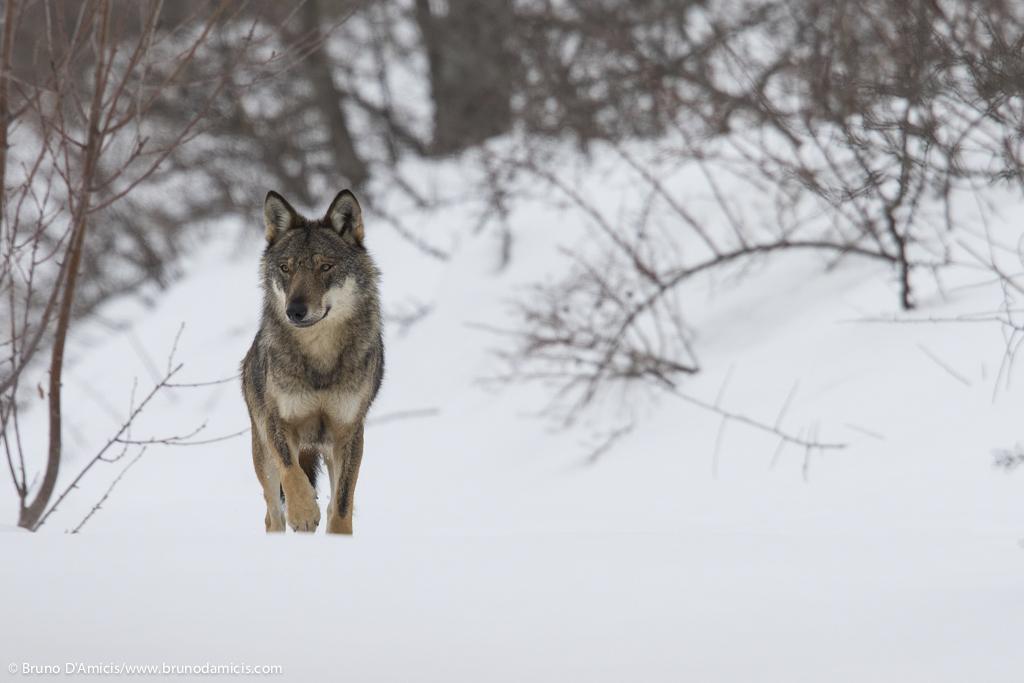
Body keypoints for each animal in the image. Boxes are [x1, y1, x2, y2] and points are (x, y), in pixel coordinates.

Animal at [239, 191, 385, 532]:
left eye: (325, 267)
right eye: (285, 268)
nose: (295, 310)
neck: (319, 361)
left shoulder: (349, 433)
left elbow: (342, 504)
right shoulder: (278, 422)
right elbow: (292, 472)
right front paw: (304, 512)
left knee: (333, 503)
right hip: (262, 457)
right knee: (273, 514)